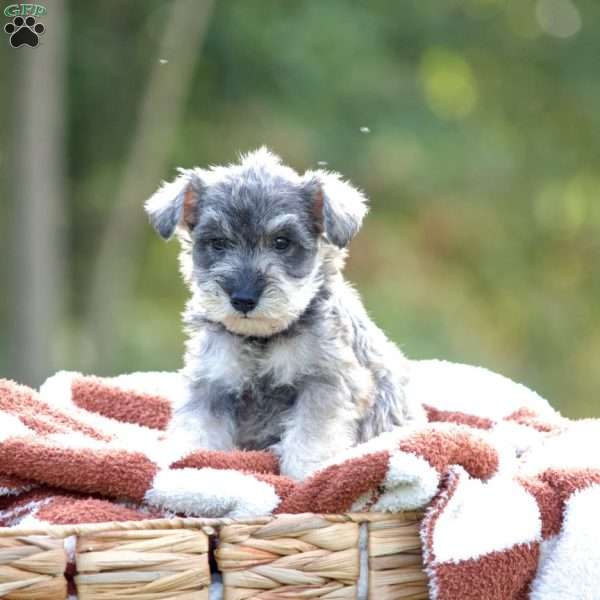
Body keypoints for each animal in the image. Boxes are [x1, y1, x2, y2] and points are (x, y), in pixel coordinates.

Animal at [146, 148, 424, 480]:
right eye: (218, 243)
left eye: (282, 242)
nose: (243, 298)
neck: (262, 338)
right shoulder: (212, 383)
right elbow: (197, 428)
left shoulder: (326, 381)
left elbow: (311, 434)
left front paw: (308, 472)